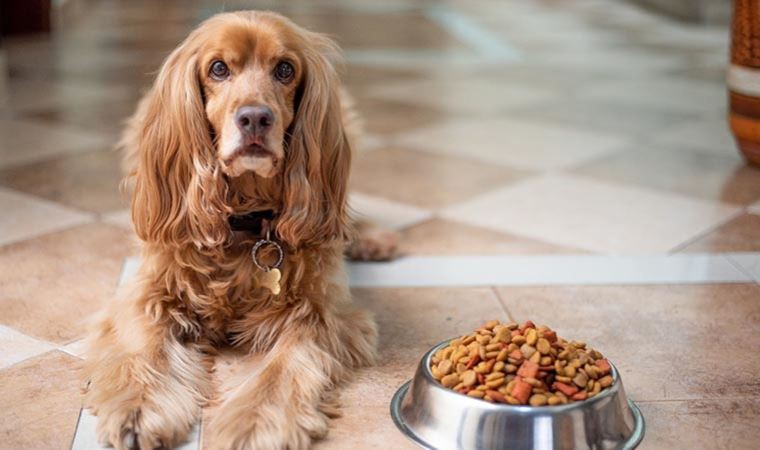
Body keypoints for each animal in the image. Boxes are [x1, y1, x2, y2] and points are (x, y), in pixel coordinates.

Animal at [83, 11, 380, 450]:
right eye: (219, 68)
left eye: (285, 69)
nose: (255, 118)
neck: (245, 221)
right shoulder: (148, 294)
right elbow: (146, 348)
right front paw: (138, 409)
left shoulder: (319, 314)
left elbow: (281, 370)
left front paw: (254, 424)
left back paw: (372, 238)